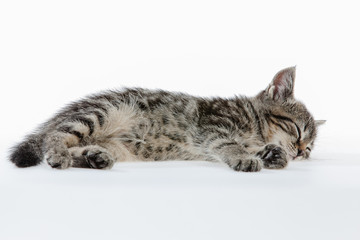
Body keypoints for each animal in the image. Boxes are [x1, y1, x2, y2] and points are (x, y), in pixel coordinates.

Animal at [9, 66, 324, 172]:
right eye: (298, 130)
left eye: (309, 148)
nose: (299, 152)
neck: (254, 126)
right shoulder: (214, 128)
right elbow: (228, 145)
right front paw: (246, 158)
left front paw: (272, 155)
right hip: (102, 113)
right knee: (56, 137)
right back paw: (60, 155)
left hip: (116, 146)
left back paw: (92, 157)